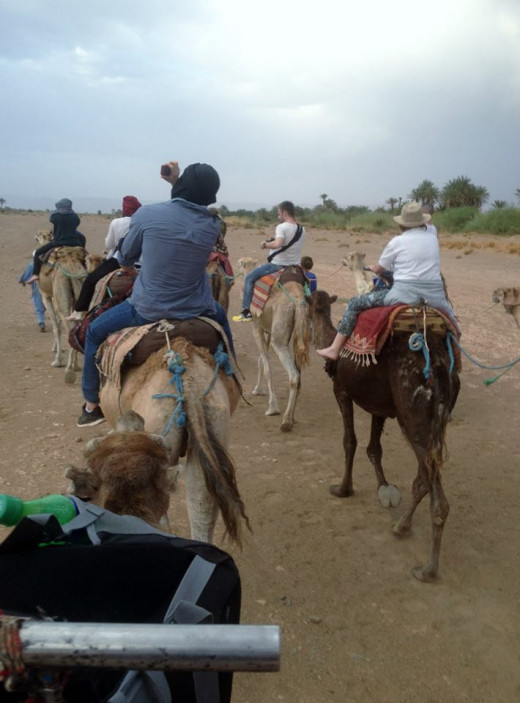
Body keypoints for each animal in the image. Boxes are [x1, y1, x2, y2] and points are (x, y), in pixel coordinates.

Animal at [236, 258, 308, 432]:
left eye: (239, 264)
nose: (235, 266)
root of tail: (297, 300)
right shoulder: (267, 328)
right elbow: (261, 361)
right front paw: (257, 390)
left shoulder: (256, 325)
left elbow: (267, 366)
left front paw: (272, 408)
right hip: (298, 334)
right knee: (298, 375)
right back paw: (292, 418)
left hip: (279, 339)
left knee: (294, 375)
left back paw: (286, 422)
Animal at [308, 292, 460, 584]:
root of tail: (436, 366)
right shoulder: (379, 407)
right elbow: (373, 448)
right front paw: (385, 488)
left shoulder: (341, 391)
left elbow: (350, 442)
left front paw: (343, 489)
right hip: (429, 422)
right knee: (424, 479)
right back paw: (401, 526)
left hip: (413, 420)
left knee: (437, 496)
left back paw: (427, 569)